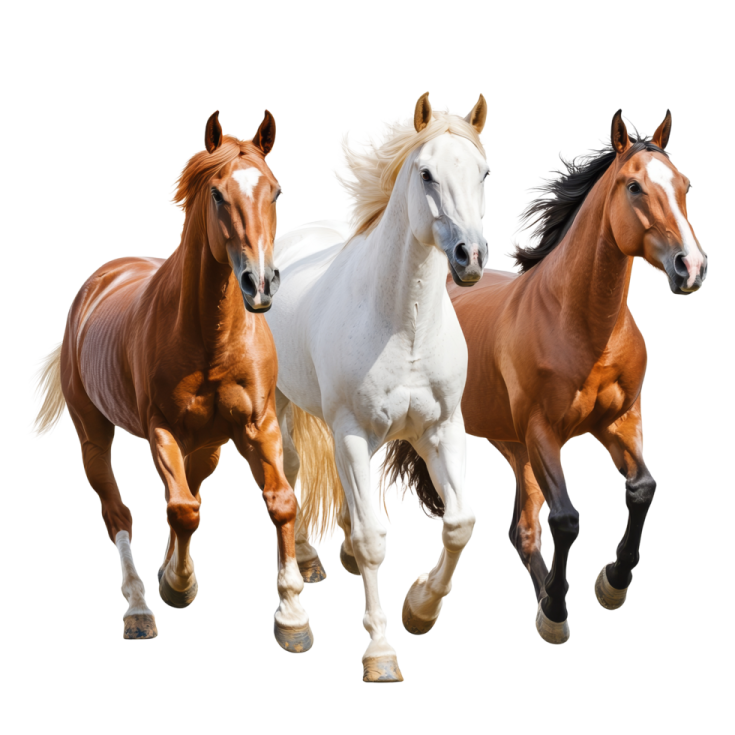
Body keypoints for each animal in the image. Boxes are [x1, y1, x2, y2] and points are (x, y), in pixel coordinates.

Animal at [27, 110, 315, 649]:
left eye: (275, 192)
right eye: (217, 194)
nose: (260, 284)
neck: (211, 337)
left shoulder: (257, 424)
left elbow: (281, 502)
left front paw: (292, 617)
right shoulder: (161, 428)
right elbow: (181, 509)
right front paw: (178, 586)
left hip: (208, 444)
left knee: (191, 491)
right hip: (94, 435)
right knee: (120, 513)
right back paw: (140, 607)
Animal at [263, 91, 490, 682]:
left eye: (482, 173)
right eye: (427, 173)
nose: (470, 257)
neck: (403, 325)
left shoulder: (442, 429)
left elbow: (459, 523)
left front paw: (421, 608)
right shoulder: (351, 432)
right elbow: (371, 542)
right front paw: (381, 652)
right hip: (283, 404)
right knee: (289, 471)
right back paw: (296, 595)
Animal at [447, 109, 707, 644]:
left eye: (684, 185)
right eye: (634, 187)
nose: (690, 267)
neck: (582, 327)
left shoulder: (619, 421)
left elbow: (642, 489)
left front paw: (612, 582)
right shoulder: (543, 430)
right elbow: (567, 519)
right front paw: (556, 612)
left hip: (512, 444)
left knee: (521, 528)